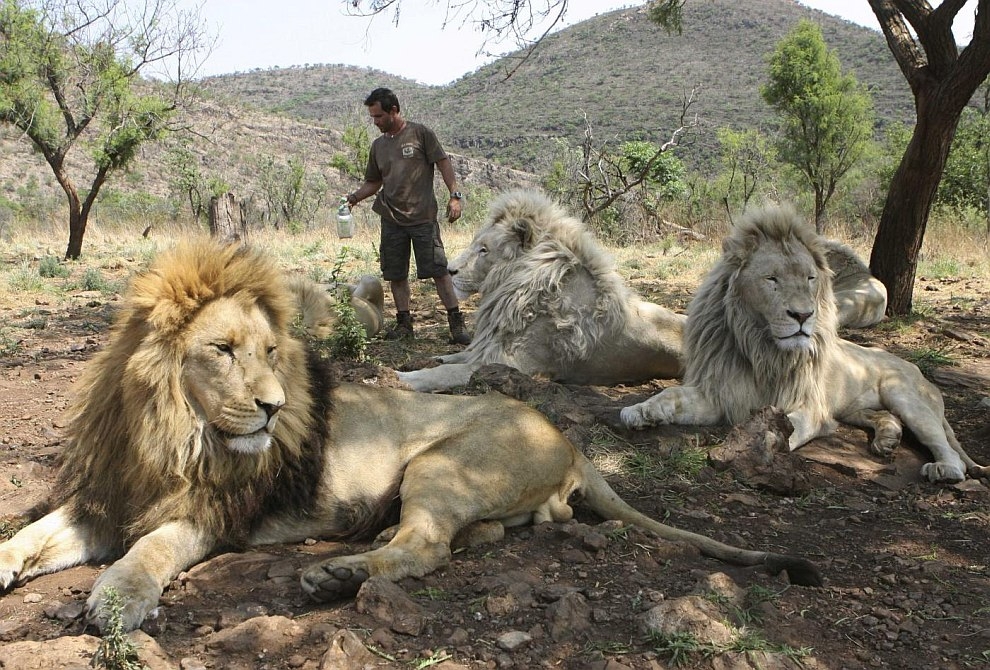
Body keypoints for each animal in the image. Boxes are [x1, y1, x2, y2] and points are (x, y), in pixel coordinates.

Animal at [394, 189, 680, 392]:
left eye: (484, 249)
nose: (449, 269)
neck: (513, 285)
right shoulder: (486, 348)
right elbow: (451, 358)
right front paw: (426, 360)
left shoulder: (510, 364)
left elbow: (441, 374)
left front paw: (400, 377)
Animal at [624, 202, 988, 486]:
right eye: (772, 279)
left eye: (810, 278)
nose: (803, 315)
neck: (760, 347)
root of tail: (915, 367)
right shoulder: (724, 393)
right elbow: (671, 395)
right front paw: (641, 411)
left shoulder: (808, 408)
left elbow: (786, 429)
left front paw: (758, 448)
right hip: (854, 406)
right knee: (884, 417)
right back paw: (887, 439)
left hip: (904, 395)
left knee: (947, 448)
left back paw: (944, 469)